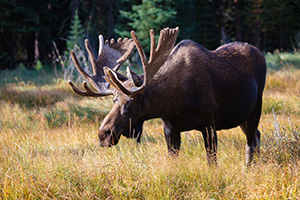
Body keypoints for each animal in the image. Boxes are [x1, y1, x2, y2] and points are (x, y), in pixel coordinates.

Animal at [69, 27, 266, 166]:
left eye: (130, 101)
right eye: (114, 99)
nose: (103, 134)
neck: (172, 104)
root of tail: (259, 52)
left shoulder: (209, 123)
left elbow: (212, 161)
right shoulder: (170, 128)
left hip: (256, 106)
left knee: (251, 142)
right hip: (242, 116)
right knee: (257, 134)